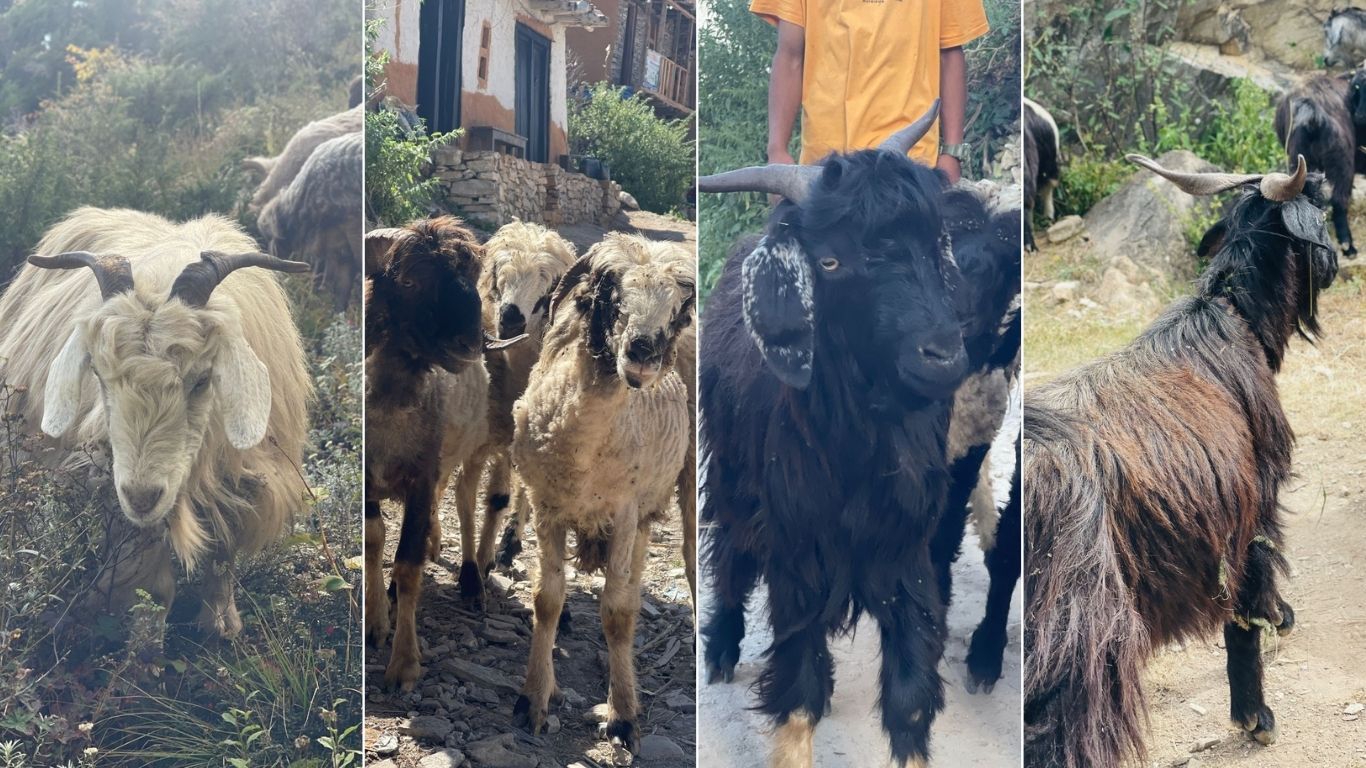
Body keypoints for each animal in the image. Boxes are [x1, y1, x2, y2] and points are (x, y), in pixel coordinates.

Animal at [0, 207, 312, 637]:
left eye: (202, 378)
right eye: (97, 374)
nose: (142, 497)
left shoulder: (242, 476)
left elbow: (223, 549)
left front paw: (220, 625)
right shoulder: (111, 478)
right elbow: (150, 575)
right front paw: (141, 636)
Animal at [362, 216, 521, 691]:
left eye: (470, 278)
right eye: (410, 281)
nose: (470, 344)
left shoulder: (422, 476)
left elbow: (407, 567)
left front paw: (403, 664)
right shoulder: (370, 481)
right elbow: (374, 543)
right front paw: (375, 621)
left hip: (470, 450)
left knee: (467, 503)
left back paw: (470, 579)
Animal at [510, 234, 695, 754]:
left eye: (678, 310)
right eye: (611, 293)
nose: (643, 352)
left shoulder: (625, 512)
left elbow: (616, 612)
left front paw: (623, 716)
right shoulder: (547, 509)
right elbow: (546, 600)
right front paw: (535, 697)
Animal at [697, 101, 1016, 768]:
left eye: (932, 243)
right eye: (831, 261)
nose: (944, 356)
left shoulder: (902, 550)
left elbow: (910, 697)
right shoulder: (795, 547)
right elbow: (796, 693)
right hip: (733, 474)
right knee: (732, 551)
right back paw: (721, 646)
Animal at [1024, 154, 1334, 767]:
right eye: (1325, 205)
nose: (1338, 261)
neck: (1235, 317)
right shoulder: (1253, 513)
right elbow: (1246, 614)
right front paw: (1256, 718)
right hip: (1076, 650)